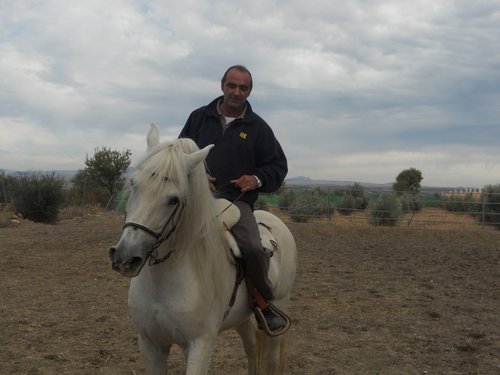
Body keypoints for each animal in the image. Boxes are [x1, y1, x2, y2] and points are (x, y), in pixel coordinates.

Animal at [109, 126, 296, 375]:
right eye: (133, 184)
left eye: (173, 199)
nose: (125, 258)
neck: (163, 280)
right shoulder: (150, 344)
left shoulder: (200, 345)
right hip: (242, 318)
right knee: (252, 348)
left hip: (280, 307)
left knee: (273, 357)